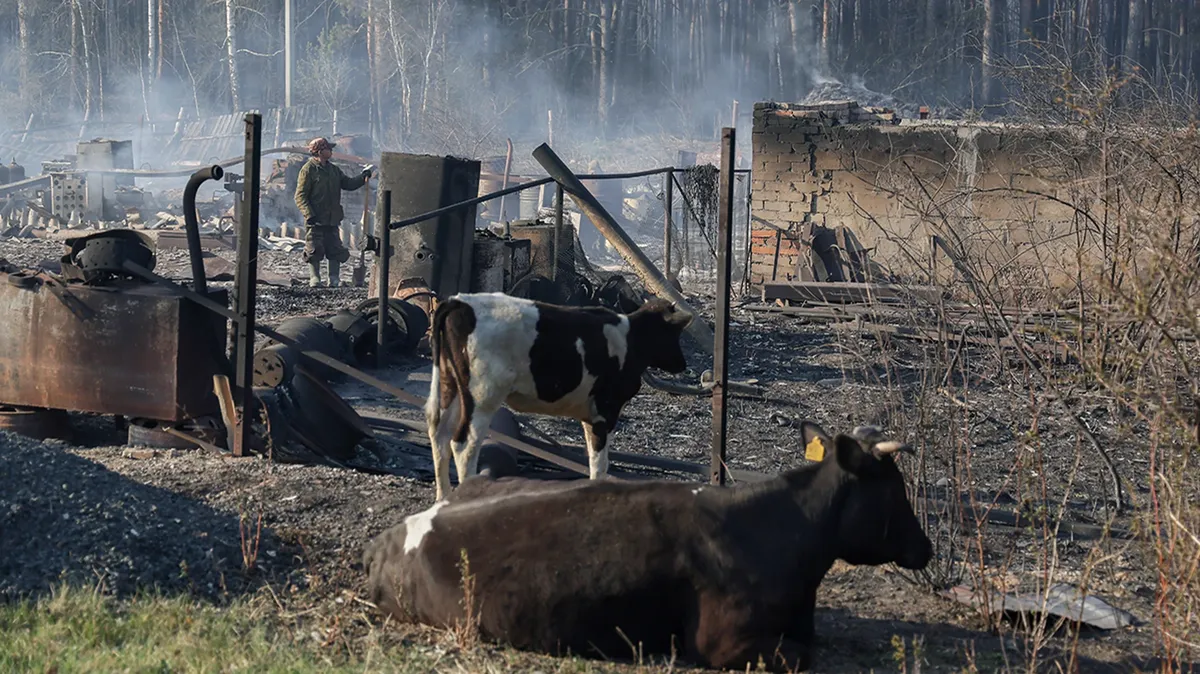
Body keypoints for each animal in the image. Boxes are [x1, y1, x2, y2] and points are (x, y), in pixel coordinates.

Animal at [424, 291, 696, 501]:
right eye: (674, 333)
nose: (683, 364)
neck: (631, 338)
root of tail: (460, 301)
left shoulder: (589, 414)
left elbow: (592, 456)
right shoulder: (605, 410)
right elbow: (600, 461)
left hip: (449, 386)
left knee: (440, 435)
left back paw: (443, 499)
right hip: (482, 396)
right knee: (464, 443)